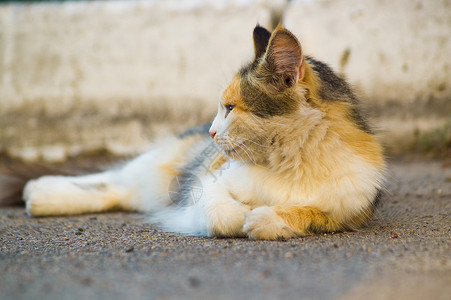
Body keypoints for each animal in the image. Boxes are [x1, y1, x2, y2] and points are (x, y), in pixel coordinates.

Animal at [1, 25, 386, 240]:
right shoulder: (209, 182)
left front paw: (265, 218)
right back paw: (40, 191)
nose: (213, 132)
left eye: (230, 108)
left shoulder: (347, 213)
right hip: (164, 164)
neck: (291, 159)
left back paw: (41, 196)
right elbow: (224, 215)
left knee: (117, 192)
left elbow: (306, 215)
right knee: (111, 178)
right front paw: (241, 216)